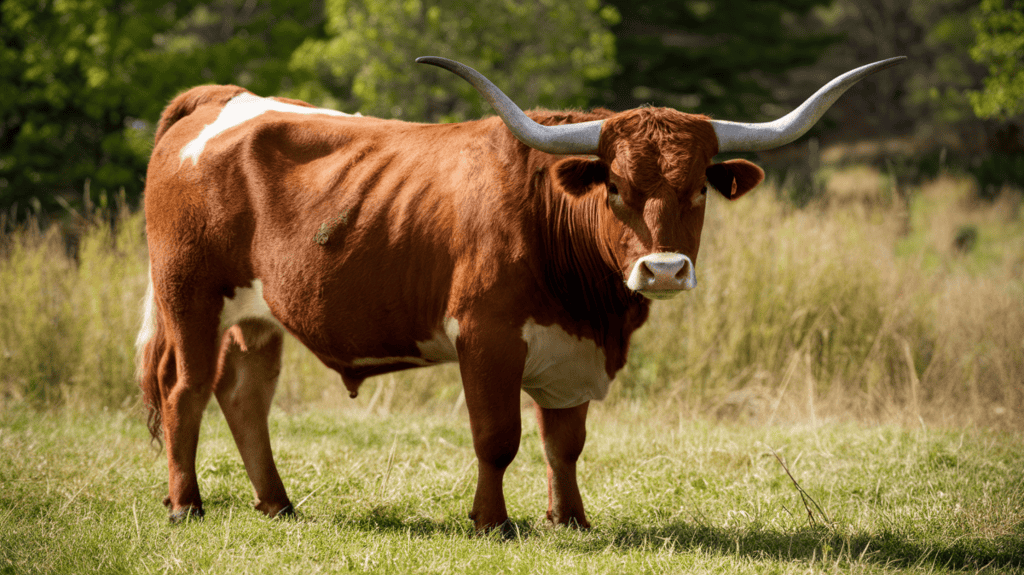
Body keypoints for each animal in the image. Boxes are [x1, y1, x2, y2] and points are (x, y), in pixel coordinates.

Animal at [136, 55, 905, 530]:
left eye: (696, 190)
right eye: (616, 186)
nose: (662, 270)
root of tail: (223, 99)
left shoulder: (570, 351)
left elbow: (565, 441)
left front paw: (570, 518)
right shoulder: (486, 338)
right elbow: (498, 437)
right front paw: (492, 521)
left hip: (258, 315)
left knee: (244, 395)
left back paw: (277, 504)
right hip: (188, 295)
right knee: (186, 389)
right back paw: (184, 504)